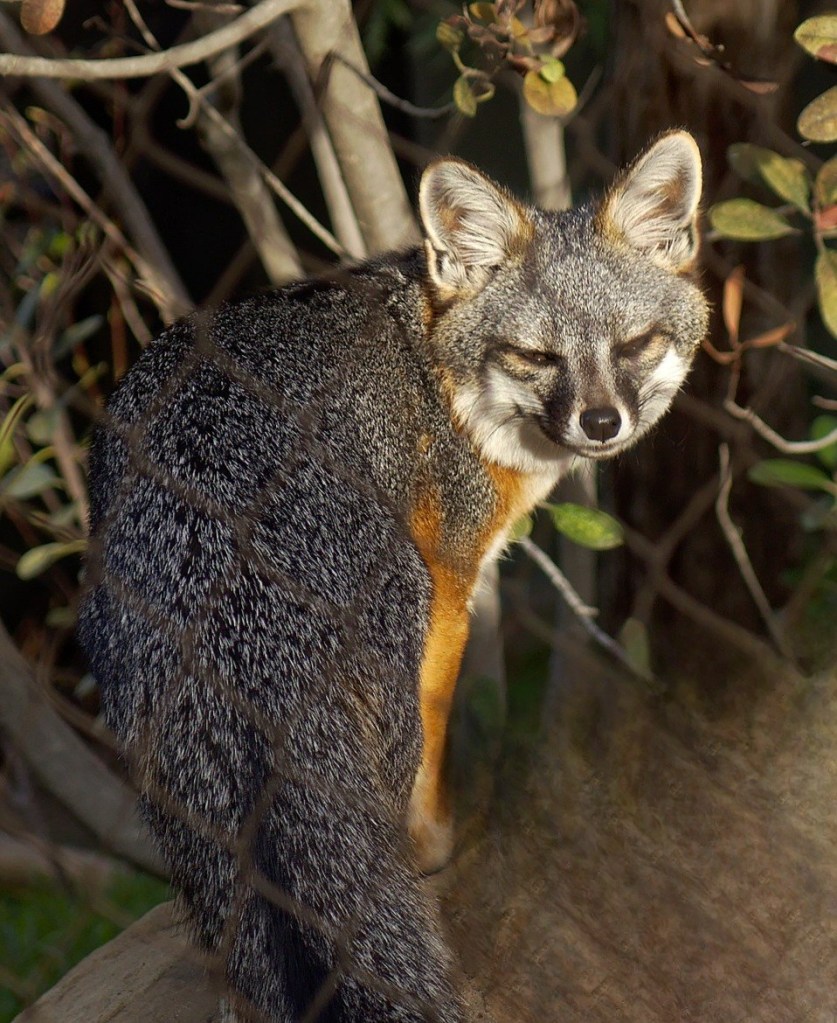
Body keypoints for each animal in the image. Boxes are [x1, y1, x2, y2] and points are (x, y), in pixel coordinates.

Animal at [78, 130, 708, 1023]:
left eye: (635, 344)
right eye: (535, 355)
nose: (599, 422)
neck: (436, 370)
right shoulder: (450, 585)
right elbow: (437, 734)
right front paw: (432, 842)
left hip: (171, 751)